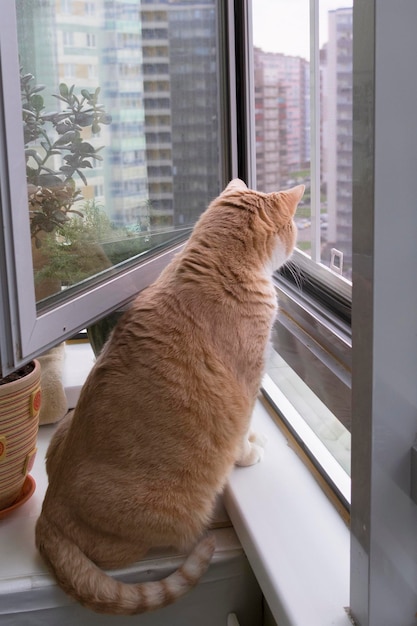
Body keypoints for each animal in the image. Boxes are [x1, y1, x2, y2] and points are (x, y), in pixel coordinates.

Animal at [35, 178, 302, 612]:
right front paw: (248, 453)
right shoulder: (247, 385)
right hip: (173, 514)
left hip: (63, 431)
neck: (217, 263)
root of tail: (47, 511)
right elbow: (241, 433)